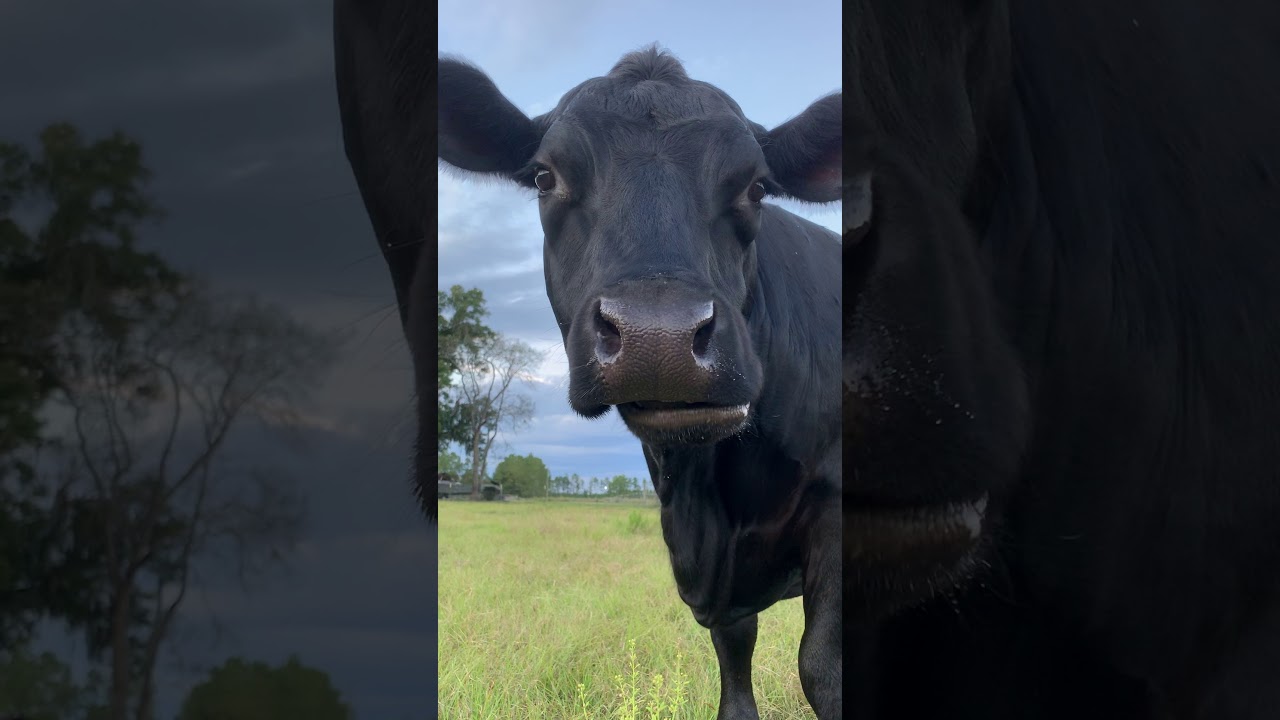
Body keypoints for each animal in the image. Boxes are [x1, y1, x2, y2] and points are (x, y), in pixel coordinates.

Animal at [334, 8, 842, 717]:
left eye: (758, 185)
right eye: (546, 176)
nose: (660, 336)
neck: (709, 503)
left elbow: (821, 666)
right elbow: (735, 672)